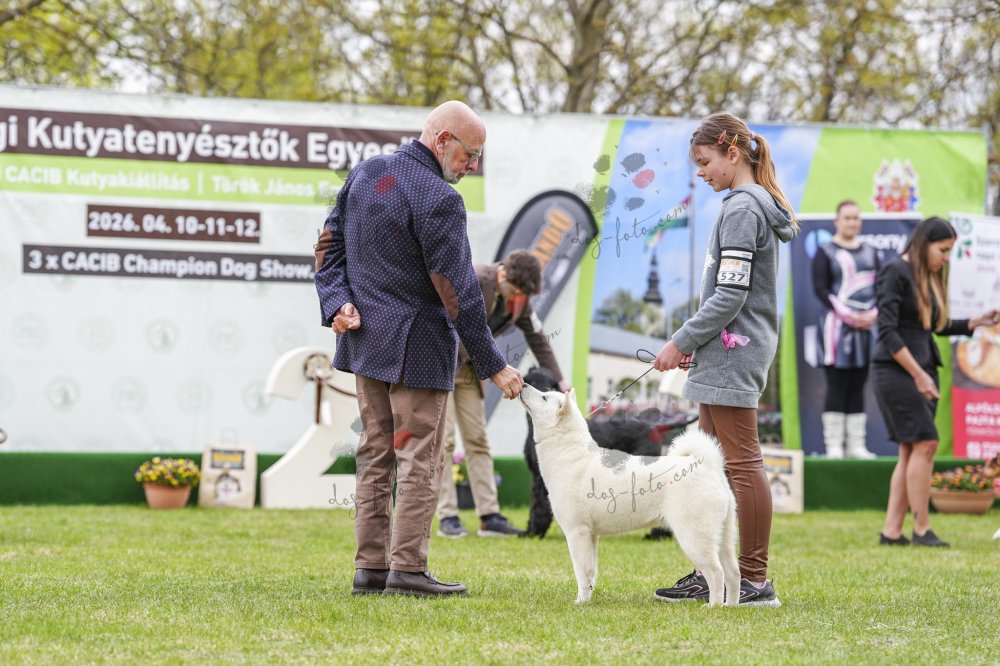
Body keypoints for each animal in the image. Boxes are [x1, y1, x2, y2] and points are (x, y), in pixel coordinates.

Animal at [523, 367, 673, 540]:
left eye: (544, 396)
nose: (522, 385)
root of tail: (652, 426)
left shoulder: (540, 482)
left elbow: (538, 507)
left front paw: (533, 532)